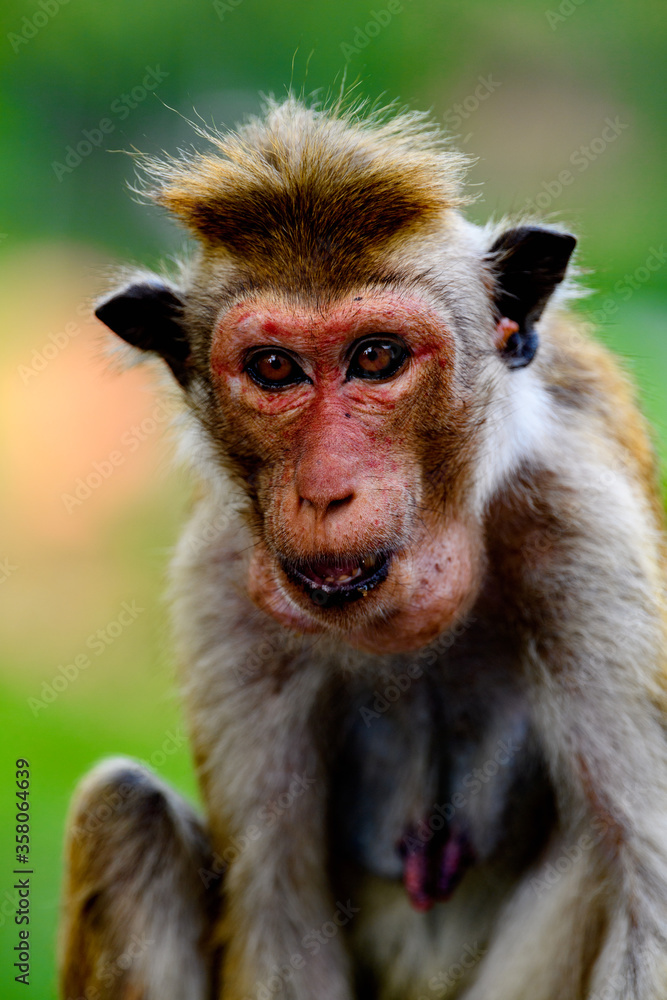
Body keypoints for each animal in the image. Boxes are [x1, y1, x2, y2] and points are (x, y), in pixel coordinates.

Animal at [59, 95, 667, 1000]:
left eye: (376, 357)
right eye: (274, 369)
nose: (323, 490)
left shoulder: (582, 524)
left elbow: (646, 888)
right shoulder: (223, 580)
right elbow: (276, 913)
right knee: (121, 805)